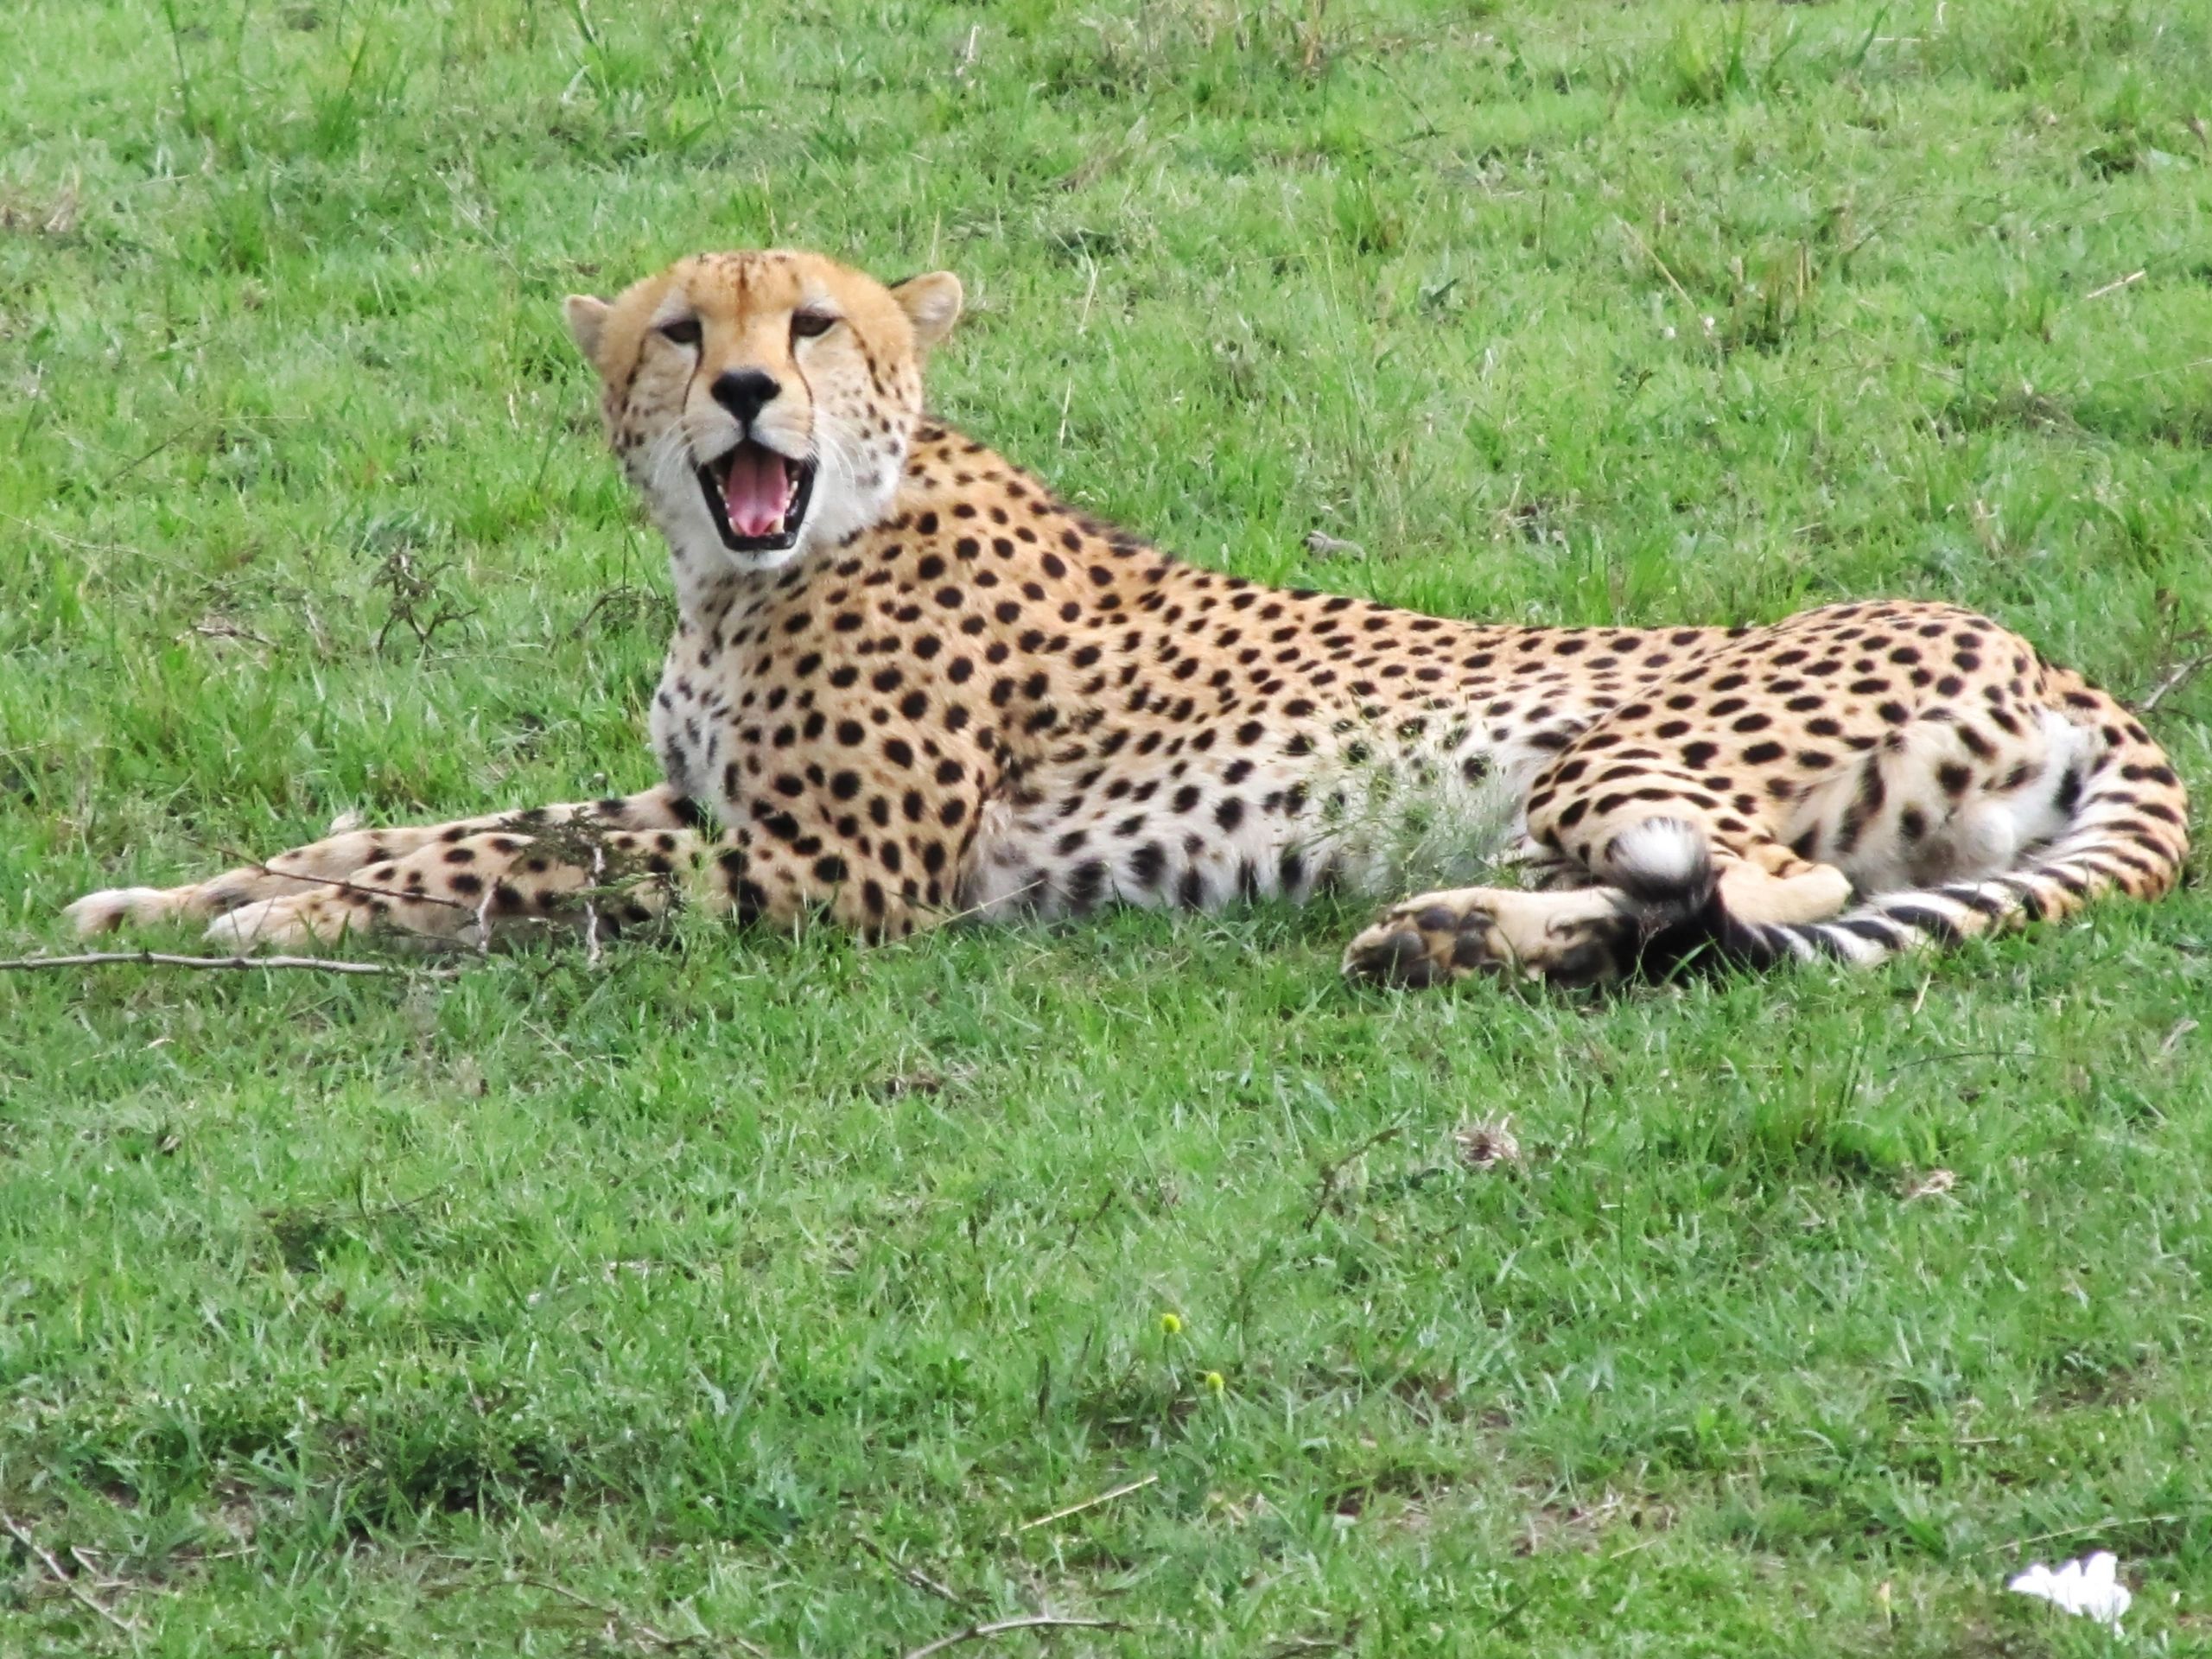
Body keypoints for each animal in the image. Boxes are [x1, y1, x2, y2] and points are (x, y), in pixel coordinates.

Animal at [65, 247, 2190, 989]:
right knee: (1708, 902)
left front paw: (278, 925)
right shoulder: (712, 806)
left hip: (1611, 750)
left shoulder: (839, 874)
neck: (744, 571)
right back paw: (1446, 934)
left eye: (810, 323)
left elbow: (510, 864)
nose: (744, 397)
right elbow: (452, 824)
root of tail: (2037, 645)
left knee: (1762, 892)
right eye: (681, 330)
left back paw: (1468, 930)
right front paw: (181, 894)